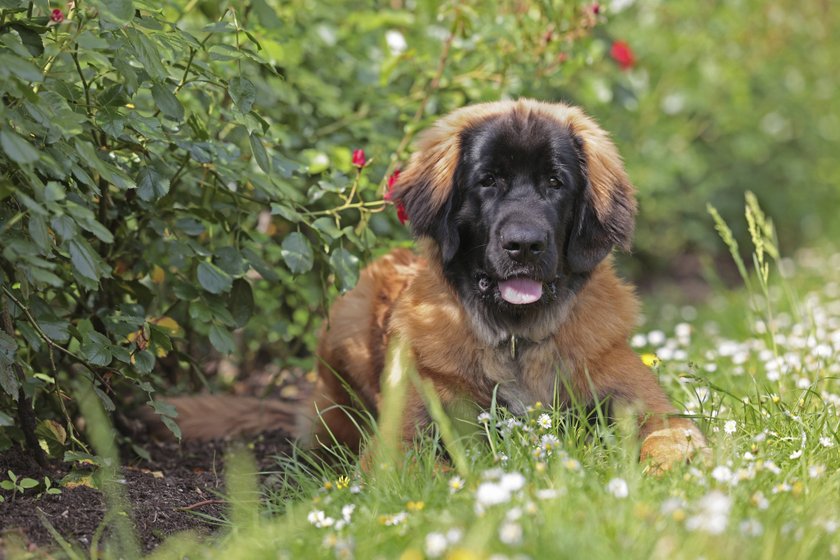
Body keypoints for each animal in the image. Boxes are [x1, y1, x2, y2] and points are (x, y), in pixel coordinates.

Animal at [162, 100, 704, 472]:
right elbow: (443, 471)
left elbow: (669, 435)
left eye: (555, 183)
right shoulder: (403, 440)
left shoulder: (644, 402)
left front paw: (665, 473)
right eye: (488, 181)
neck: (515, 339)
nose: (524, 245)